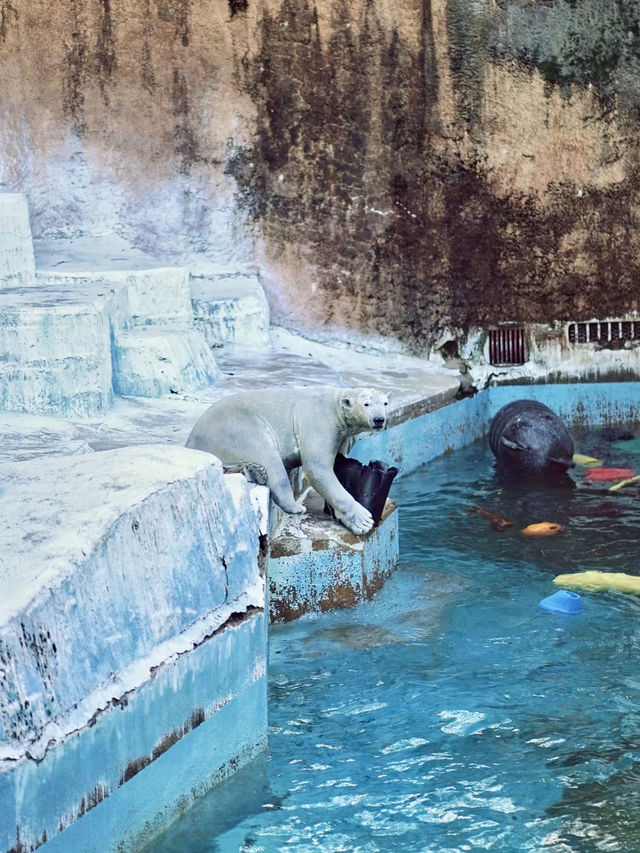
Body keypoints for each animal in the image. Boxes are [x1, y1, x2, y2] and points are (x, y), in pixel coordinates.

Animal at [185, 386, 390, 532]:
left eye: (385, 403)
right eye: (366, 404)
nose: (379, 419)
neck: (336, 404)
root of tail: (191, 439)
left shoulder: (342, 435)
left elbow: (342, 461)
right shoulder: (320, 422)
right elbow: (318, 468)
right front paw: (363, 520)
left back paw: (253, 471)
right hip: (239, 427)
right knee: (269, 458)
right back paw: (293, 504)